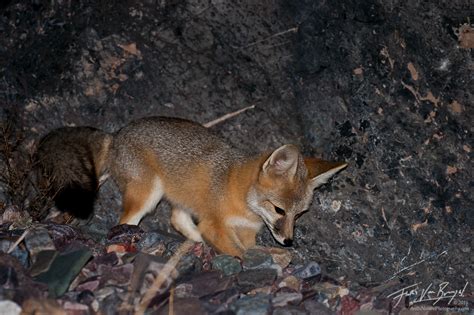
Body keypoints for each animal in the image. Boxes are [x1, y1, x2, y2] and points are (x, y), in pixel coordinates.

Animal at [37, 117, 346, 258]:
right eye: (279, 209)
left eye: (300, 214)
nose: (289, 241)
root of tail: (116, 135)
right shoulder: (214, 224)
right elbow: (239, 252)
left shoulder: (246, 232)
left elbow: (249, 248)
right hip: (148, 196)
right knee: (124, 222)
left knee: (176, 219)